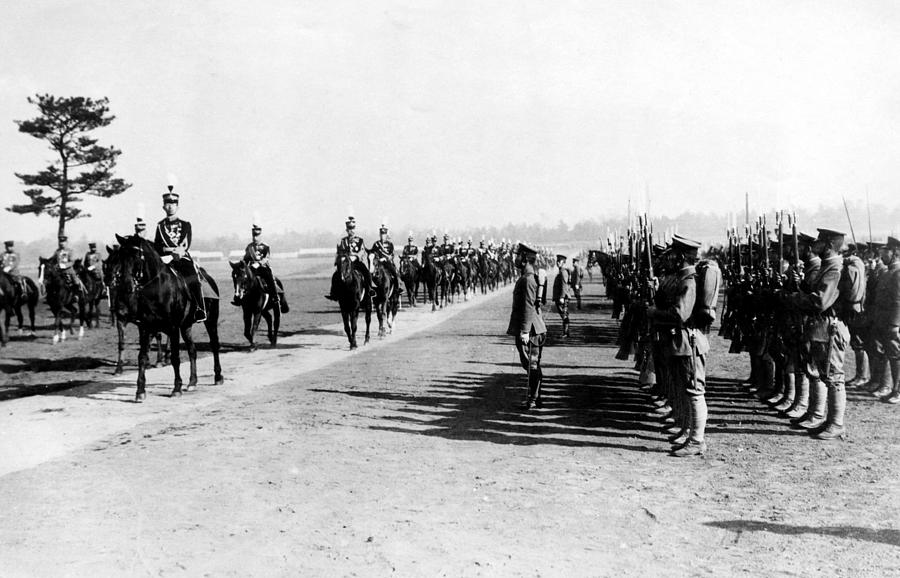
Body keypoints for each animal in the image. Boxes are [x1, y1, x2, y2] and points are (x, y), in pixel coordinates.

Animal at [110, 234, 222, 400]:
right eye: (121, 256)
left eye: (136, 255)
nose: (126, 286)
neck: (157, 289)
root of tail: (208, 278)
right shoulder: (145, 328)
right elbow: (142, 357)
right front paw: (140, 391)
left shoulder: (173, 327)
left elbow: (175, 357)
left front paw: (176, 388)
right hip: (186, 326)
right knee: (192, 350)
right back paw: (192, 382)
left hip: (211, 320)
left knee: (214, 345)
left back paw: (218, 376)